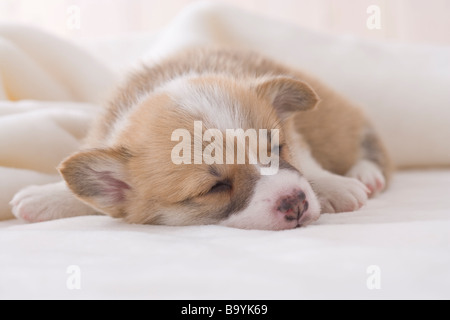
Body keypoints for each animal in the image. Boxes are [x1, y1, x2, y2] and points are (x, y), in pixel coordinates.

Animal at [9, 47, 390, 230]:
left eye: (277, 149)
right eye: (214, 188)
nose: (295, 202)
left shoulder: (298, 138)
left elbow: (309, 164)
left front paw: (336, 186)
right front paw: (46, 196)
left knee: (370, 146)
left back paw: (363, 175)